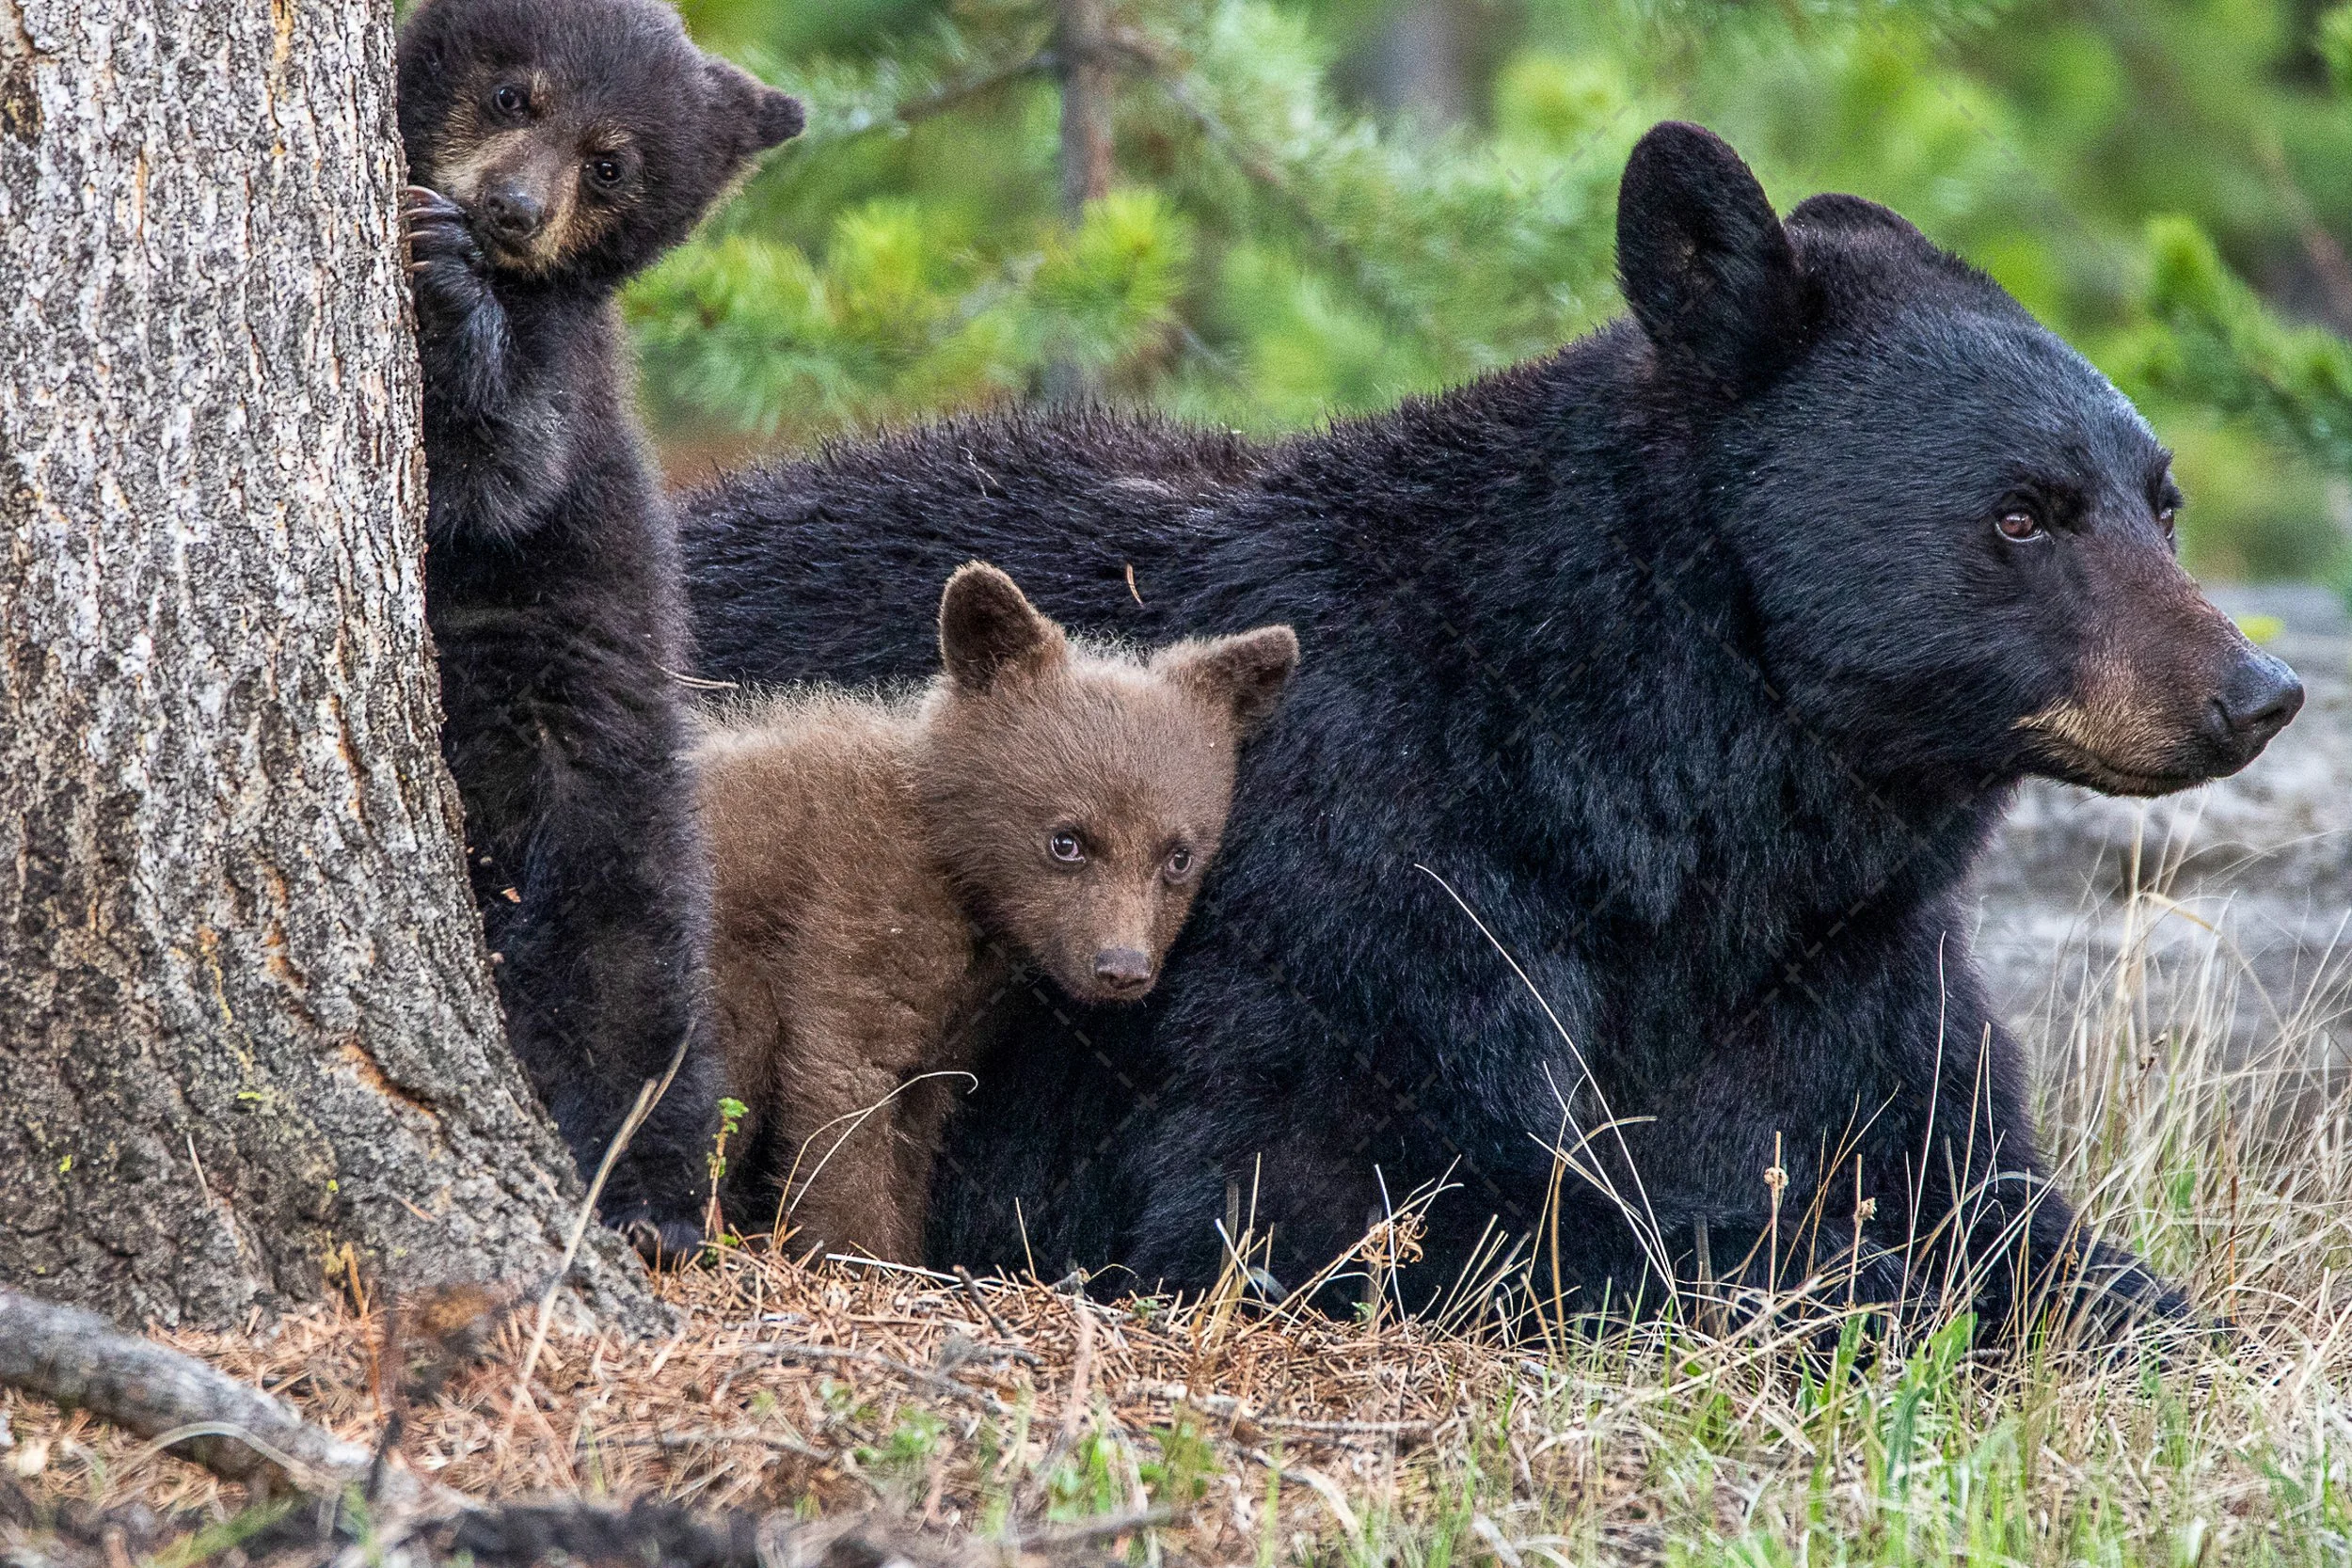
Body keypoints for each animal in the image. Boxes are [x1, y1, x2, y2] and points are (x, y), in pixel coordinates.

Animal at [394, 0, 803, 1257]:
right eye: (516, 94)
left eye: (612, 163)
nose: (511, 210)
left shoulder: (565, 374)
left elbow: (503, 468)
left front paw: (444, 287)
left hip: (599, 818)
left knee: (628, 1000)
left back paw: (649, 1200)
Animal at [695, 563, 1299, 1263]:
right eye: (1066, 840)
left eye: (1178, 856)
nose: (1122, 968)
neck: (955, 868)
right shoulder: (856, 906)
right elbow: (843, 1091)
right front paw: (858, 1254)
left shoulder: (951, 1028)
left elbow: (916, 1128)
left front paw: (908, 1254)